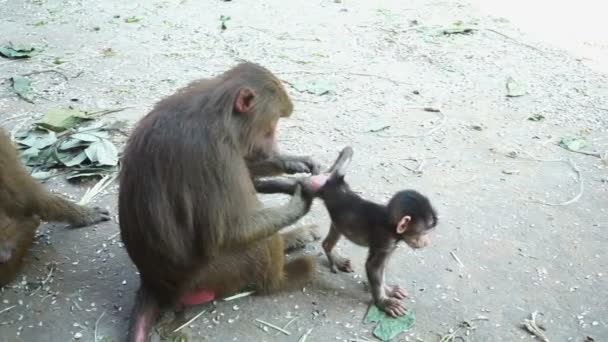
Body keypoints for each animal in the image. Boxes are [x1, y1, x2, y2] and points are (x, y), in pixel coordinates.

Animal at [308, 147, 436, 318]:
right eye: (423, 232)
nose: (427, 241)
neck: (390, 224)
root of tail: (336, 185)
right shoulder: (385, 240)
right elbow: (372, 267)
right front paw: (383, 302)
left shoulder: (391, 244)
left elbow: (382, 269)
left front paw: (388, 289)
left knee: (332, 236)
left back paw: (333, 255)